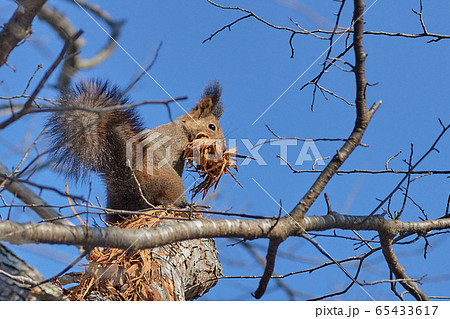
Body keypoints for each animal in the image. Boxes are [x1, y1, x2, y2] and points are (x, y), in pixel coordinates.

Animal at [46, 80, 225, 222]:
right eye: (212, 127)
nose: (223, 148)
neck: (181, 128)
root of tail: (132, 185)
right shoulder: (174, 141)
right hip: (171, 182)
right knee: (166, 200)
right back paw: (184, 206)